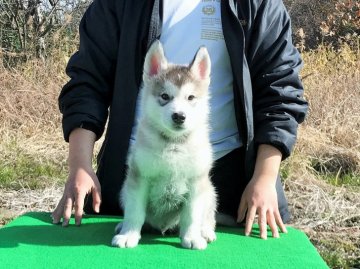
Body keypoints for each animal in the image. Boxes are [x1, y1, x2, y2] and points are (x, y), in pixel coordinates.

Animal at [111, 40, 215, 249]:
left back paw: (206, 231)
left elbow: (192, 216)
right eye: (165, 96)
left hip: (209, 190)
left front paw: (192, 237)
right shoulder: (139, 177)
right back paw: (122, 226)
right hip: (125, 189)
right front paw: (128, 234)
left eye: (191, 98)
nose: (179, 116)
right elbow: (135, 212)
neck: (174, 144)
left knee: (208, 215)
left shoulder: (196, 181)